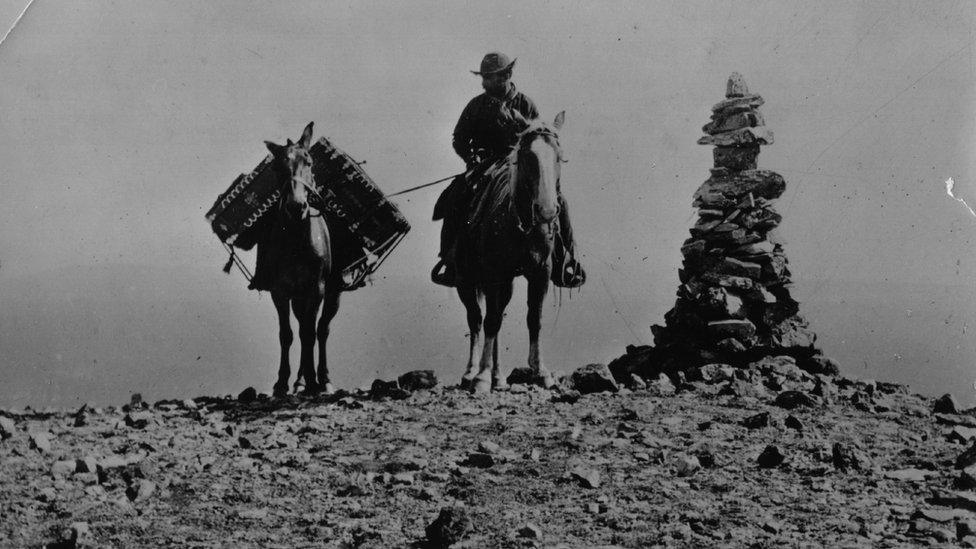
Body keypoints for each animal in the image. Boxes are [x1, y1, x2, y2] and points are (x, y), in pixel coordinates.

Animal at [264, 121, 358, 394]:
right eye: (277, 167)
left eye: (309, 161)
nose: (297, 206)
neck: (297, 240)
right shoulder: (280, 291)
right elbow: (287, 334)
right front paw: (282, 382)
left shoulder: (316, 288)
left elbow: (310, 334)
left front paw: (314, 380)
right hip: (297, 297)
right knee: (303, 326)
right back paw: (300, 380)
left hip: (332, 293)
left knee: (321, 329)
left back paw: (322, 378)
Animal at [460, 110, 568, 390]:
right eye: (527, 156)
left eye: (559, 156)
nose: (547, 210)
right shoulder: (493, 273)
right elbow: (490, 320)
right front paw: (481, 377)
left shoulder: (540, 273)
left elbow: (534, 319)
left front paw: (541, 371)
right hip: (466, 281)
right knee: (477, 319)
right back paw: (471, 372)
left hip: (504, 283)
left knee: (496, 317)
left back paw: (498, 377)